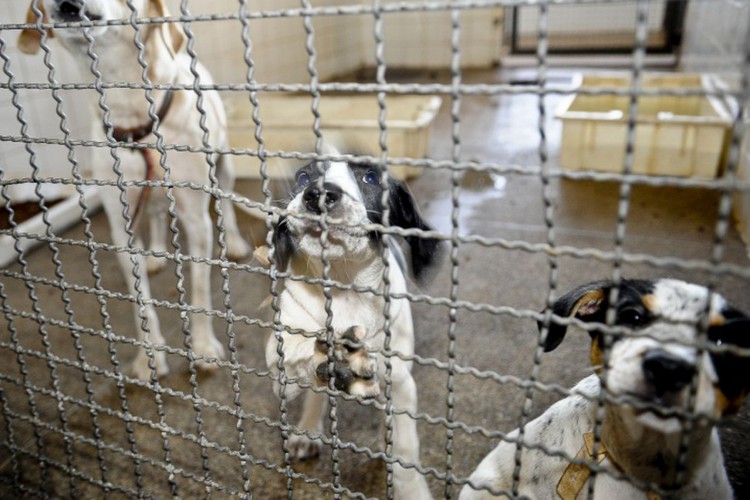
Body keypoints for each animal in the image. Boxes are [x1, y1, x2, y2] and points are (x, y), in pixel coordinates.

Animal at [17, 0, 251, 378]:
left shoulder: (196, 219)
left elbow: (200, 291)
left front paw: (203, 348)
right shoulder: (121, 225)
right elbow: (142, 303)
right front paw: (149, 356)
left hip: (224, 164)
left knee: (225, 204)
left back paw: (234, 242)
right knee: (156, 214)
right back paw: (155, 252)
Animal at [266, 157, 444, 500]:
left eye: (370, 178)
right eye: (304, 176)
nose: (317, 194)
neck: (343, 285)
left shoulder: (401, 382)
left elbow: (406, 445)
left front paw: (411, 488)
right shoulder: (280, 358)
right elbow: (299, 358)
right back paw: (309, 428)